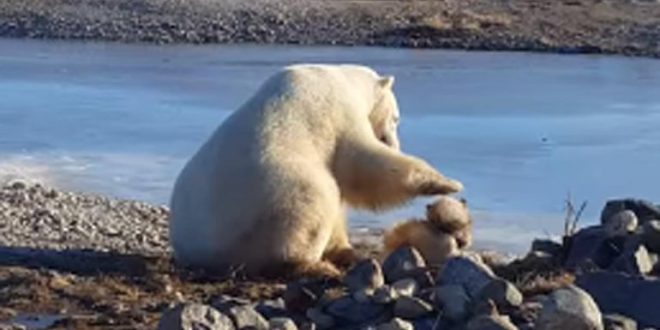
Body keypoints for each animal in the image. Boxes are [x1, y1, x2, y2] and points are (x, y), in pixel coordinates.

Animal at [168, 63, 462, 278]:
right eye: (397, 117)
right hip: (275, 193)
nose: (394, 143)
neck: (344, 79)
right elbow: (364, 163)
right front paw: (447, 183)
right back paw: (316, 266)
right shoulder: (338, 114)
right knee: (315, 200)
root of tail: (204, 251)